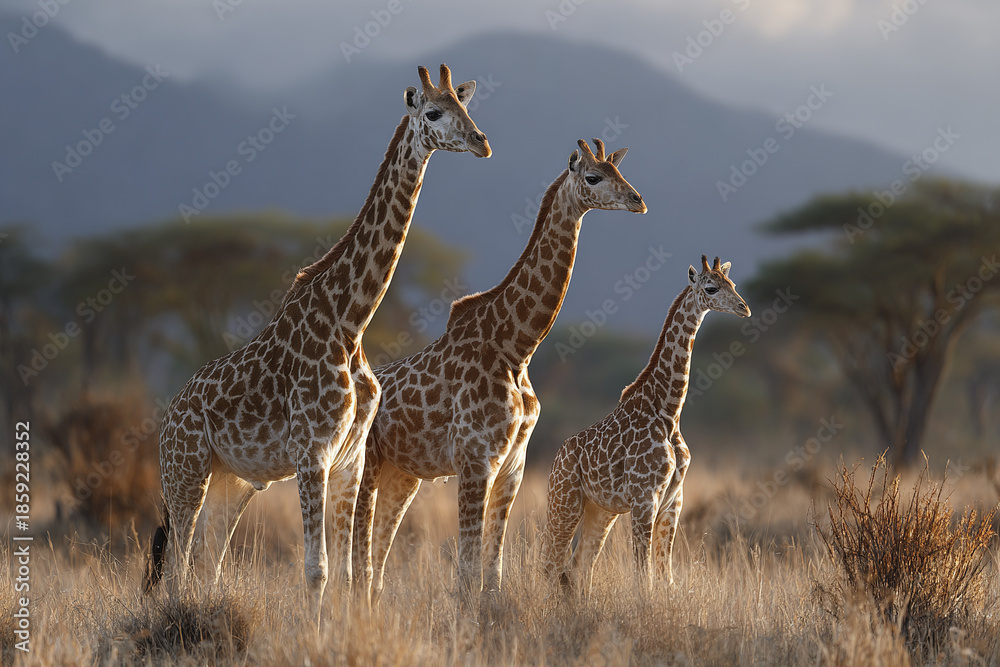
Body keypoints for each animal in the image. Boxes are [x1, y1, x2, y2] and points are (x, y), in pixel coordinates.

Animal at [143, 64, 490, 623]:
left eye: (467, 106)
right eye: (435, 112)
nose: (482, 142)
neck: (351, 321)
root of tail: (167, 417)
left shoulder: (350, 459)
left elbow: (348, 572)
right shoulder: (312, 453)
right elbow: (317, 570)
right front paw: (317, 633)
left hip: (230, 483)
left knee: (206, 564)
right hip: (184, 473)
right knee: (176, 565)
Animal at [352, 138, 646, 605]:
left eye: (619, 171)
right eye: (594, 177)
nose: (638, 201)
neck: (516, 348)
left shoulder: (513, 465)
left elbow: (493, 569)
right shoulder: (476, 460)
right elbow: (467, 569)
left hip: (404, 474)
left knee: (378, 555)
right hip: (368, 464)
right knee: (357, 546)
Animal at [540, 256, 750, 595]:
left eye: (732, 283)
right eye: (711, 288)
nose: (744, 308)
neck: (669, 411)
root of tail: (556, 460)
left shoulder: (674, 500)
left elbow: (666, 576)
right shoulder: (644, 499)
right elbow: (645, 576)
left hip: (600, 510)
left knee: (577, 567)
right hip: (564, 501)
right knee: (550, 564)